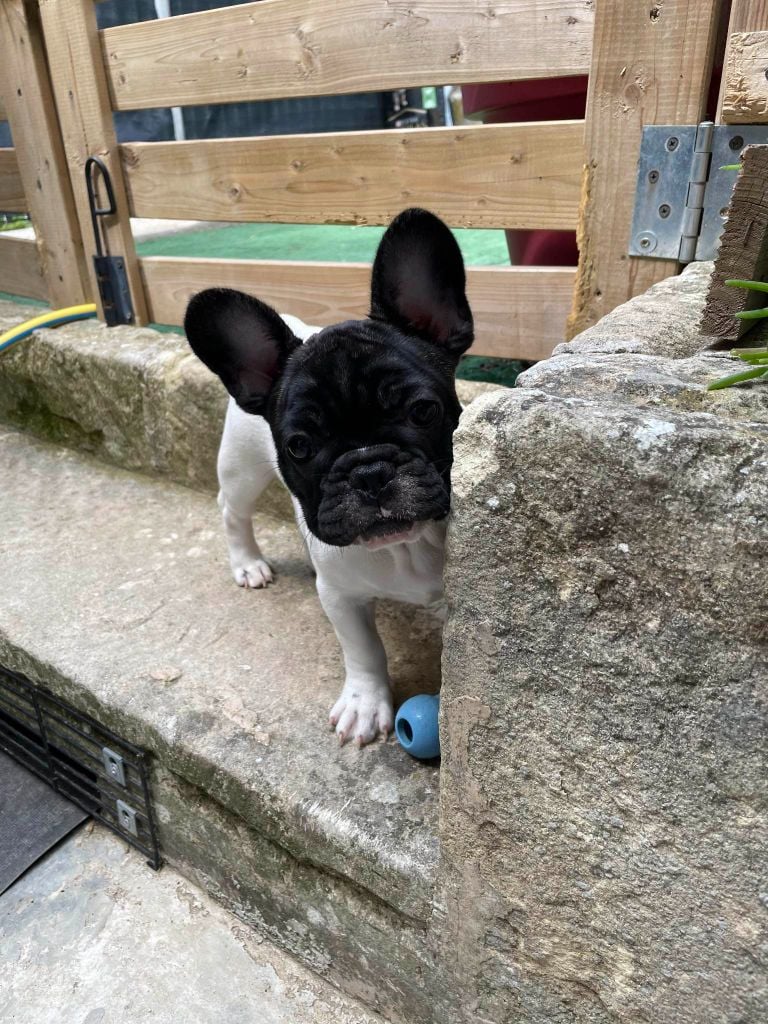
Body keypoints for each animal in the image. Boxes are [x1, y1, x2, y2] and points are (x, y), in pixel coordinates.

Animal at [184, 209, 473, 747]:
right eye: (299, 445)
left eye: (423, 411)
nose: (369, 470)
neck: (403, 549)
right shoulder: (340, 596)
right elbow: (363, 648)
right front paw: (365, 704)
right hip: (241, 469)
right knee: (232, 510)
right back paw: (247, 563)